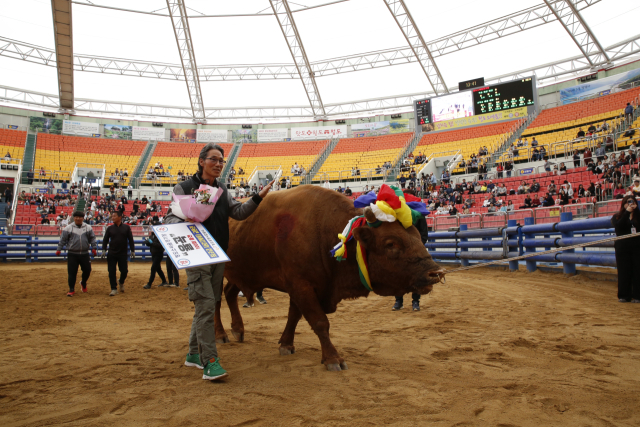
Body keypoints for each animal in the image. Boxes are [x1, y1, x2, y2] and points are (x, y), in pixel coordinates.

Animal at [212, 186, 442, 372]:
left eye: (417, 235)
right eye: (391, 243)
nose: (435, 273)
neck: (323, 229)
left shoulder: (301, 288)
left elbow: (294, 317)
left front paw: (286, 344)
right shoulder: (301, 285)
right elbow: (320, 322)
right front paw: (333, 359)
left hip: (238, 275)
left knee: (230, 293)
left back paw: (238, 330)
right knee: (215, 302)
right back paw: (221, 335)